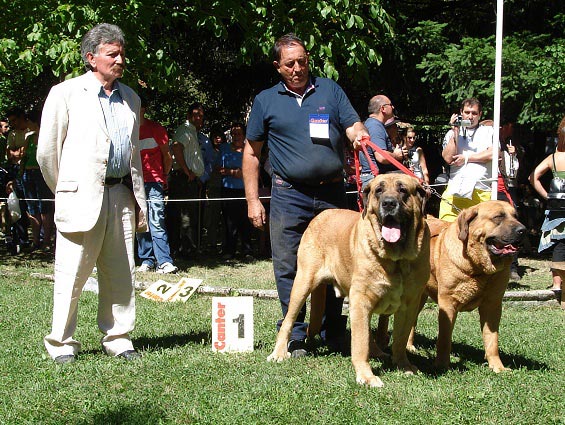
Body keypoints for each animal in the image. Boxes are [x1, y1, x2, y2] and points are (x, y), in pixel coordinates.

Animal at [266, 173, 430, 388]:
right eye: (379, 190)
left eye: (403, 190)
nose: (388, 203)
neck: (397, 259)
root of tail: (320, 215)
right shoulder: (360, 300)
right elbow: (360, 344)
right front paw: (366, 376)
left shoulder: (409, 305)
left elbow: (400, 340)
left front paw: (404, 365)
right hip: (302, 283)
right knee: (288, 320)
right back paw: (278, 353)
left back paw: (378, 352)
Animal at [408, 200, 528, 370]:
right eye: (498, 217)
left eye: (516, 216)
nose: (523, 230)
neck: (479, 268)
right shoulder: (448, 303)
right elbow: (444, 338)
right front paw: (442, 365)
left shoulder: (493, 305)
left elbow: (492, 339)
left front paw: (497, 367)